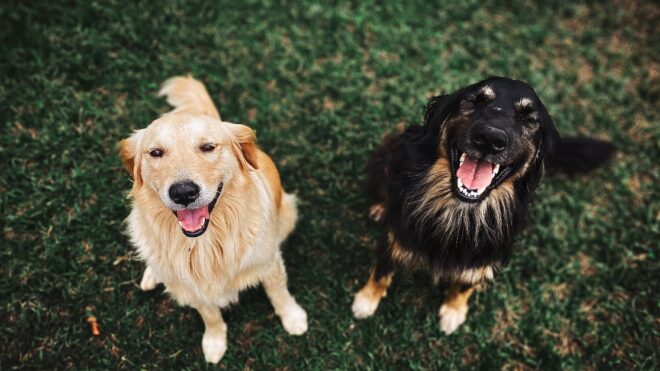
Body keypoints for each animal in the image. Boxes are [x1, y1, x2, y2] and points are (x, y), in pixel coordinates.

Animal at [354, 76, 616, 334]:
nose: (491, 139)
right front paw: (366, 301)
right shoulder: (395, 236)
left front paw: (453, 311)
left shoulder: (483, 258)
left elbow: (464, 284)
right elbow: (381, 272)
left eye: (529, 118)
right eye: (476, 101)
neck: (460, 210)